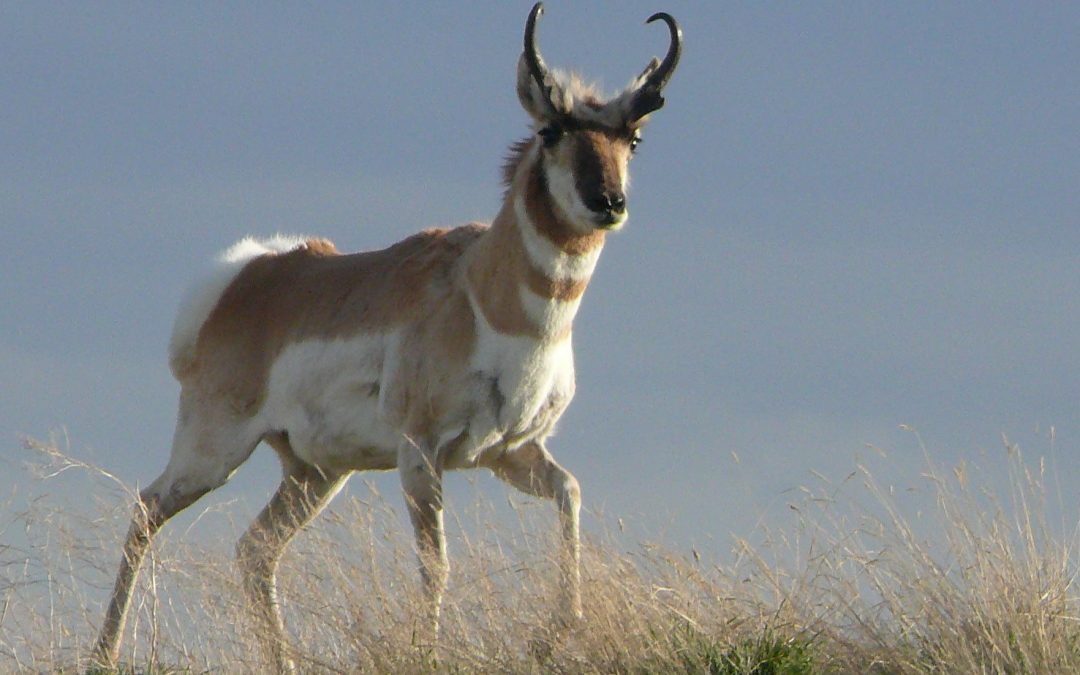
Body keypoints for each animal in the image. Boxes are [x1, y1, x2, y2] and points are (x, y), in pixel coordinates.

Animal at [95, 3, 682, 669]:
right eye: (550, 131)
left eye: (633, 138)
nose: (608, 202)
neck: (485, 295)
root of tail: (248, 277)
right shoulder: (420, 452)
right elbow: (436, 565)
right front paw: (430, 653)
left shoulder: (511, 453)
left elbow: (571, 493)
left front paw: (555, 631)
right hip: (213, 450)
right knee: (147, 509)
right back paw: (103, 654)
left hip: (314, 472)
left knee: (256, 550)